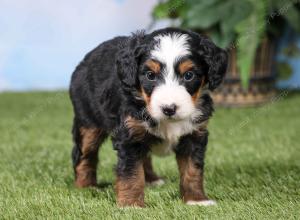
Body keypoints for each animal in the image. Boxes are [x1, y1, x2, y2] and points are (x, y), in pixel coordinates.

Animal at [69, 26, 227, 207]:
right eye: (150, 75)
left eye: (189, 75)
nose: (169, 108)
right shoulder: (129, 135)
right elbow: (131, 172)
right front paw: (131, 204)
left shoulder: (194, 135)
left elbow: (192, 170)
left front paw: (196, 200)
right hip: (88, 123)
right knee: (84, 155)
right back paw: (86, 186)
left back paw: (151, 179)